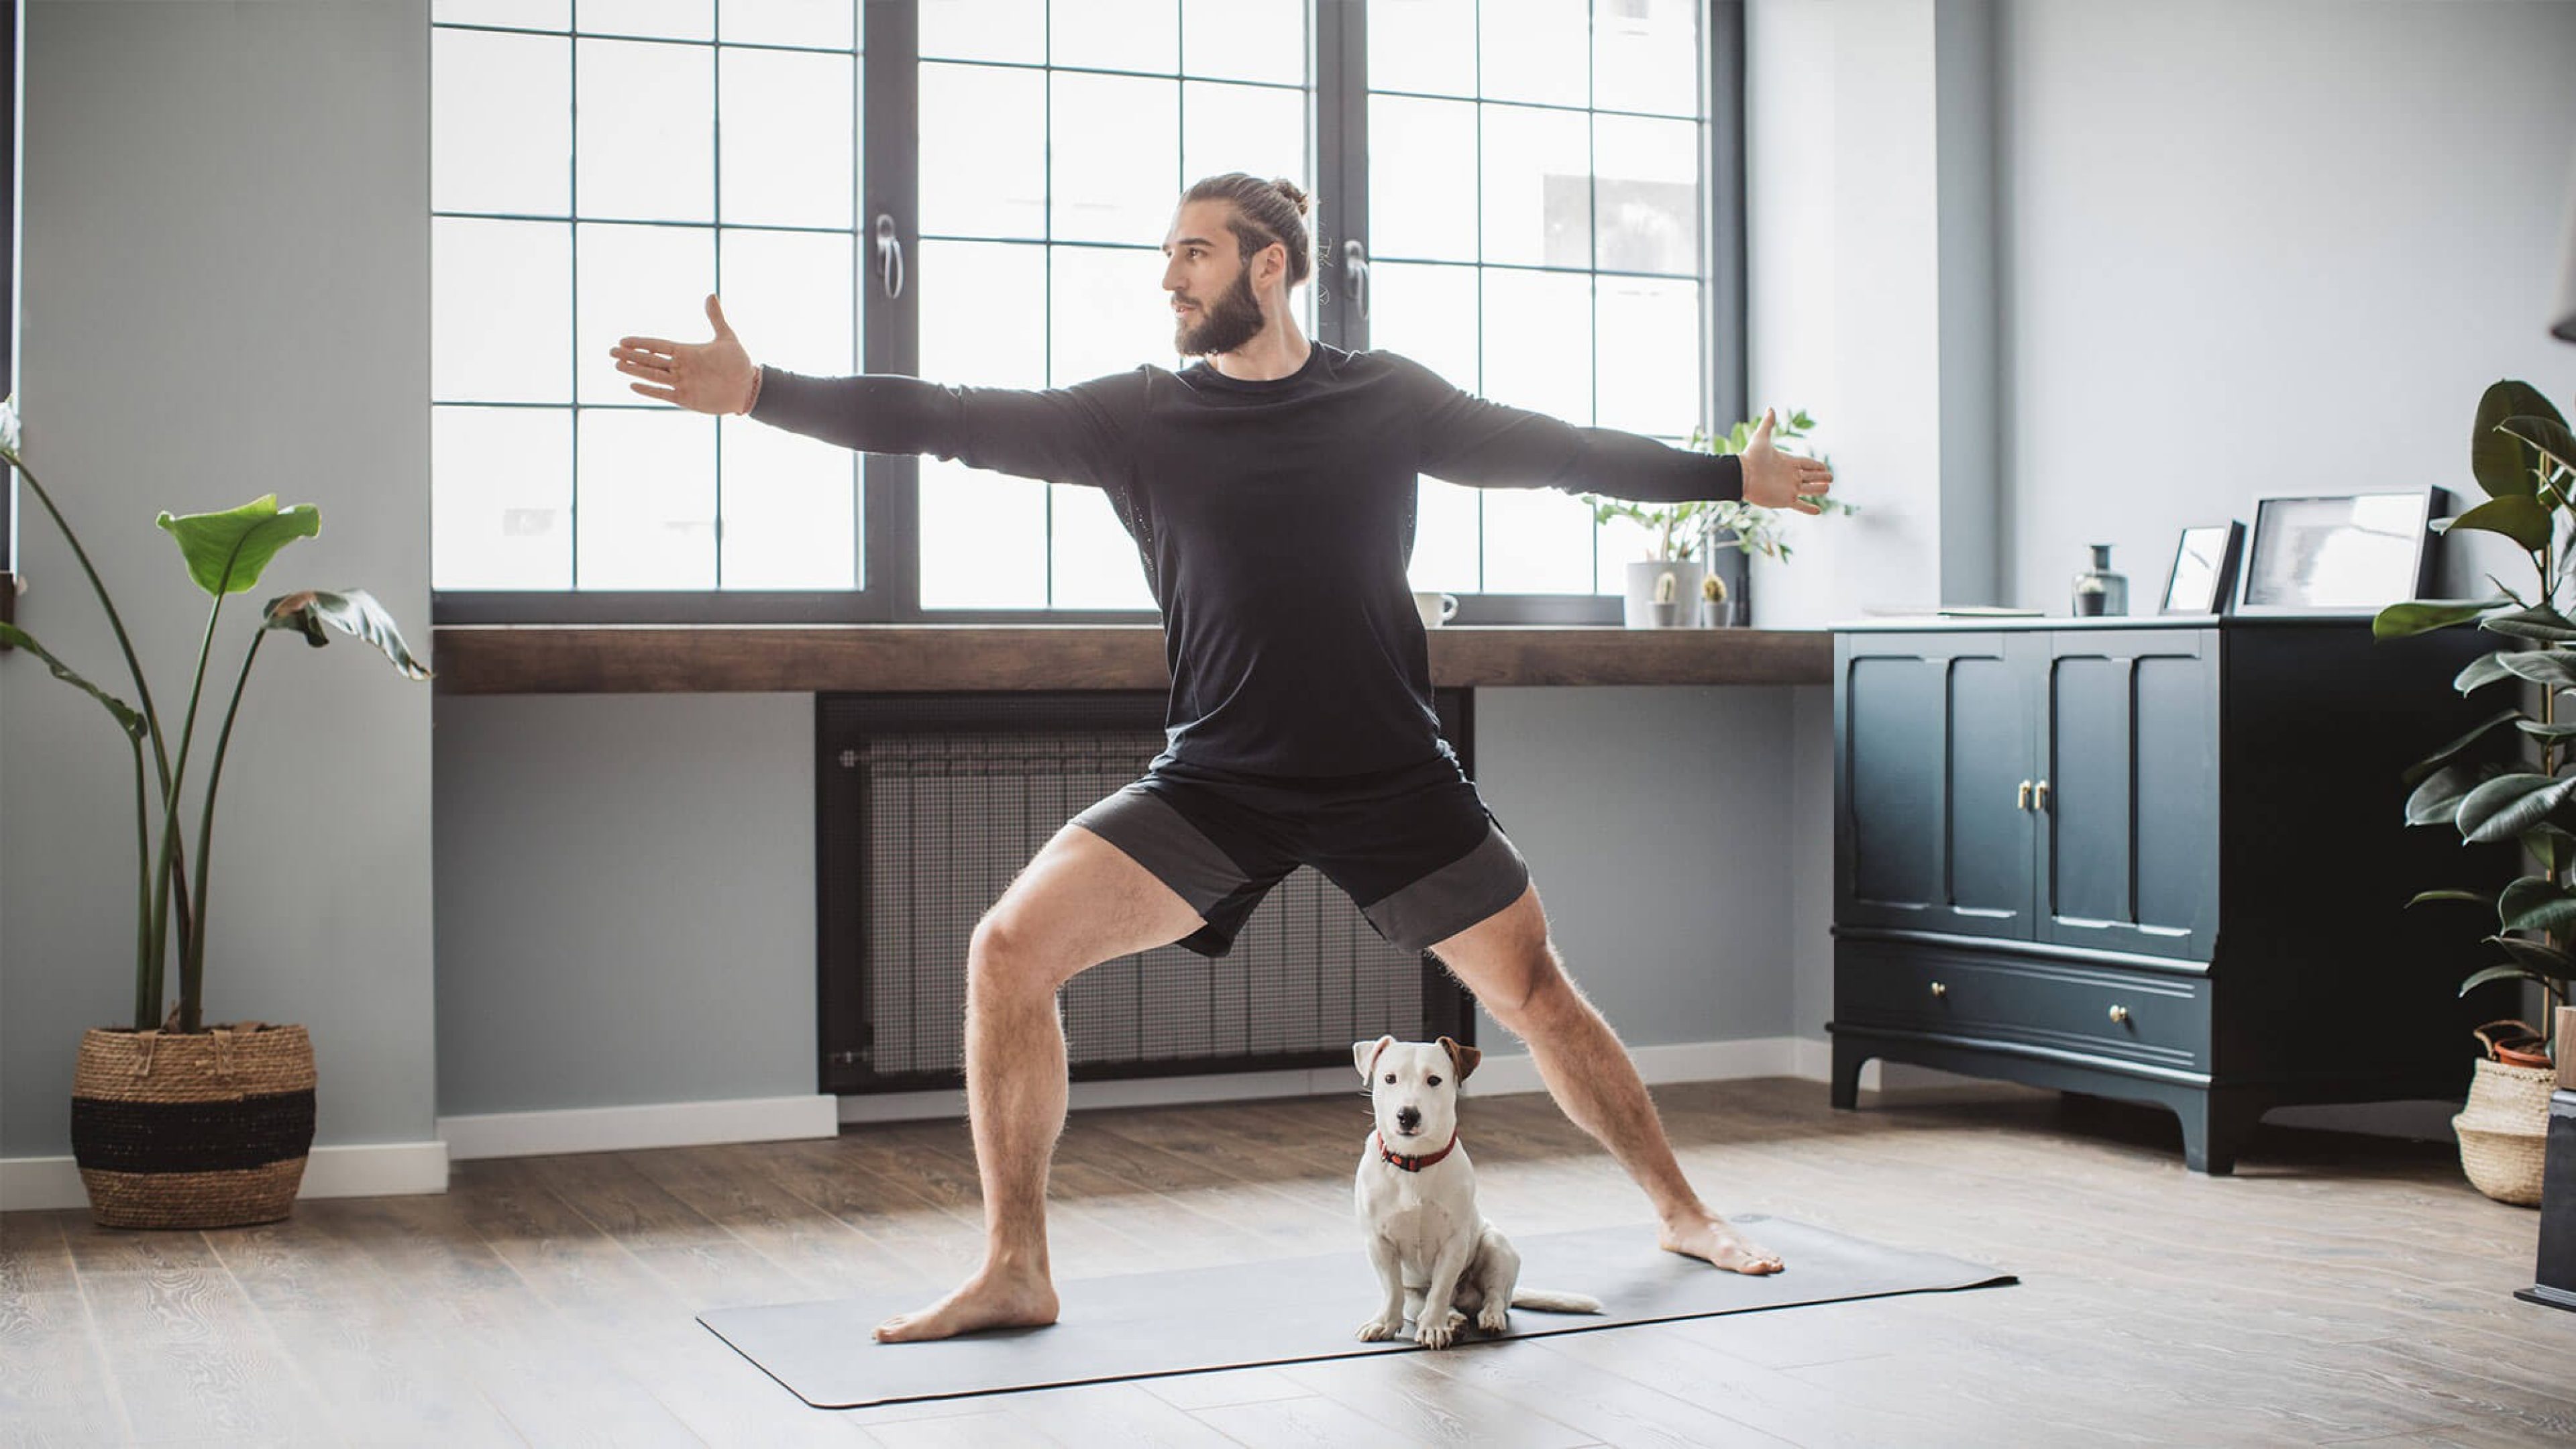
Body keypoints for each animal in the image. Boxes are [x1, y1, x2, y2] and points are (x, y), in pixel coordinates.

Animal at [1360, 1026, 1597, 1340]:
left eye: (1434, 1080)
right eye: (1390, 1078)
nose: (1407, 1115)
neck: (1415, 1162)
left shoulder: (1455, 1243)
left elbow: (1441, 1288)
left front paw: (1433, 1327)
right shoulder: (1379, 1242)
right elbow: (1392, 1289)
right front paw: (1386, 1322)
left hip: (1496, 1248)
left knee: (1493, 1296)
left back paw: (1487, 1317)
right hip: (1416, 1295)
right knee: (1425, 1303)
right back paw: (1452, 1319)